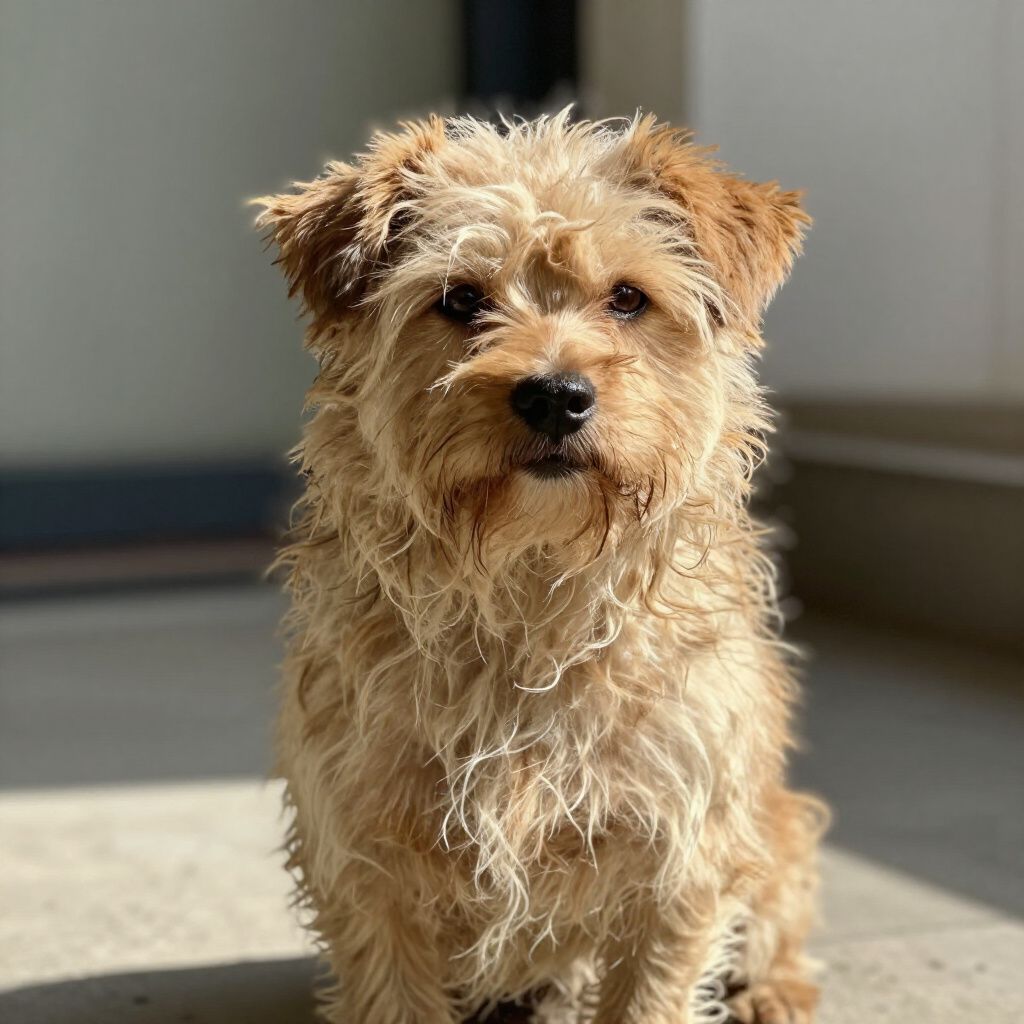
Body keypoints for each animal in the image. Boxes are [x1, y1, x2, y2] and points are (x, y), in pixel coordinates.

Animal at [255, 110, 827, 1024]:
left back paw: (770, 990)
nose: (555, 394)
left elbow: (648, 998)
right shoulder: (366, 856)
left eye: (628, 297)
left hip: (770, 833)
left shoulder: (680, 860)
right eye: (460, 299)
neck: (528, 590)